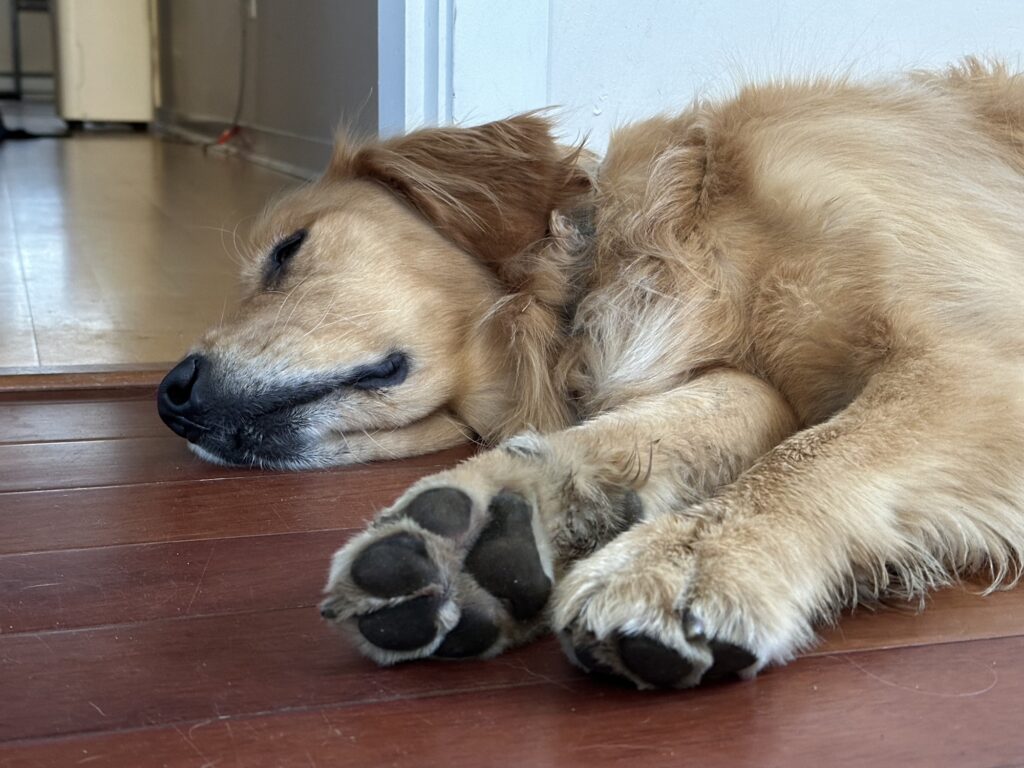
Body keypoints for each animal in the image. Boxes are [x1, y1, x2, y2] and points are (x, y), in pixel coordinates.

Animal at [159, 57, 1024, 688]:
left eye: (288, 251)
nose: (172, 397)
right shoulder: (741, 376)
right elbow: (650, 429)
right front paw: (496, 516)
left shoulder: (977, 356)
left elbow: (809, 458)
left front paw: (689, 559)